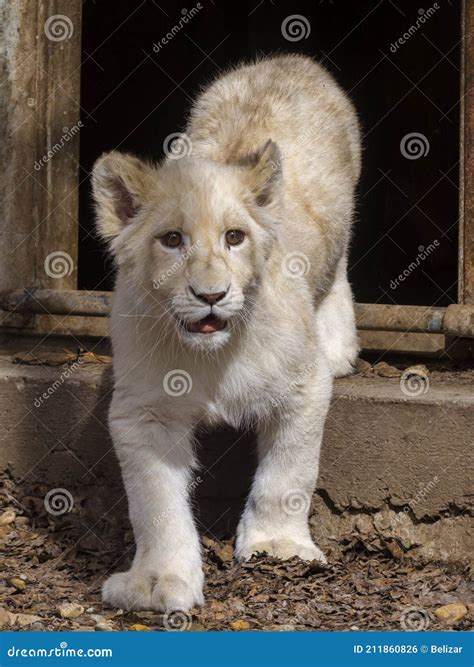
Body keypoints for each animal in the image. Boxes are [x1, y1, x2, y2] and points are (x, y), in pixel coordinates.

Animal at [92, 54, 361, 612]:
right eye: (172, 240)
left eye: (234, 237)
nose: (211, 295)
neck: (213, 356)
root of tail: (287, 59)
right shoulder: (143, 411)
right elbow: (154, 503)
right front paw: (157, 582)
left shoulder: (304, 387)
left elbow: (288, 475)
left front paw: (278, 547)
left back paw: (339, 344)